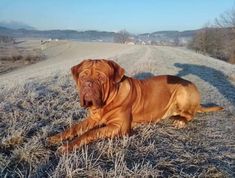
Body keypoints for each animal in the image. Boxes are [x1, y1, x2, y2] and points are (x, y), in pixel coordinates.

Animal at [48, 59, 222, 154]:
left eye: (101, 78)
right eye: (83, 76)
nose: (88, 84)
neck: (107, 102)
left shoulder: (118, 127)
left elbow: (89, 133)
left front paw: (67, 147)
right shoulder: (93, 118)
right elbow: (75, 128)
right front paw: (57, 137)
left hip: (182, 92)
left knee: (190, 114)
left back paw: (180, 121)